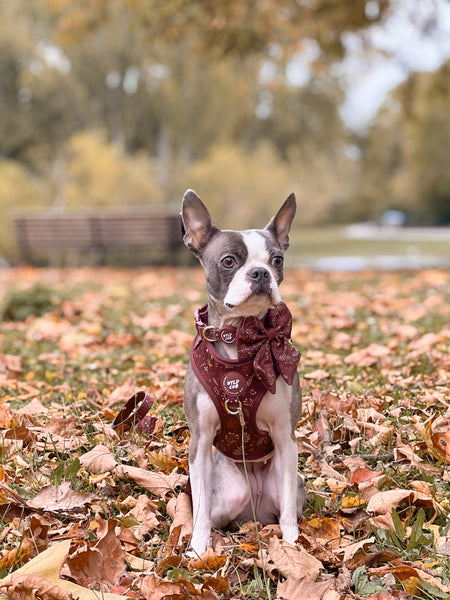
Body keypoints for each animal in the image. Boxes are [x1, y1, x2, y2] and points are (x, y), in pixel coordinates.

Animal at [181, 190, 304, 556]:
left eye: (277, 260)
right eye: (228, 262)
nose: (260, 273)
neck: (240, 339)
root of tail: (256, 511)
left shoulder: (285, 436)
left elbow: (288, 510)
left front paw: (294, 546)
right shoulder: (200, 441)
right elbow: (201, 508)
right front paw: (197, 549)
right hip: (230, 494)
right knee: (215, 513)